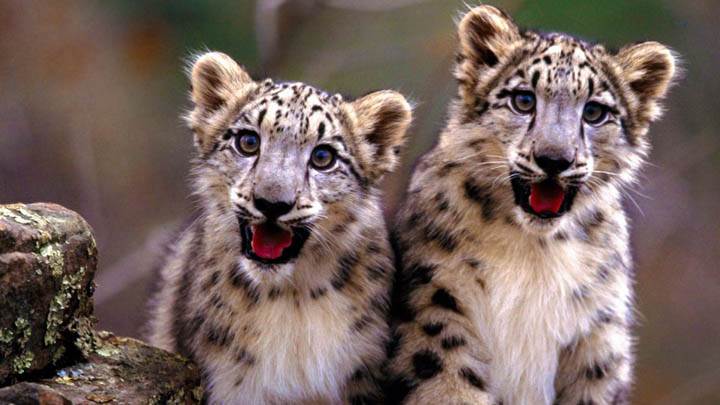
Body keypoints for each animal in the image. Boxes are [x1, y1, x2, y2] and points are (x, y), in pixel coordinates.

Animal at [384, 5, 678, 405]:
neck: (534, 252)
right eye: (523, 100)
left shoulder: (598, 335)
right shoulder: (437, 304)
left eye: (595, 112)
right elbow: (449, 385)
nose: (554, 159)